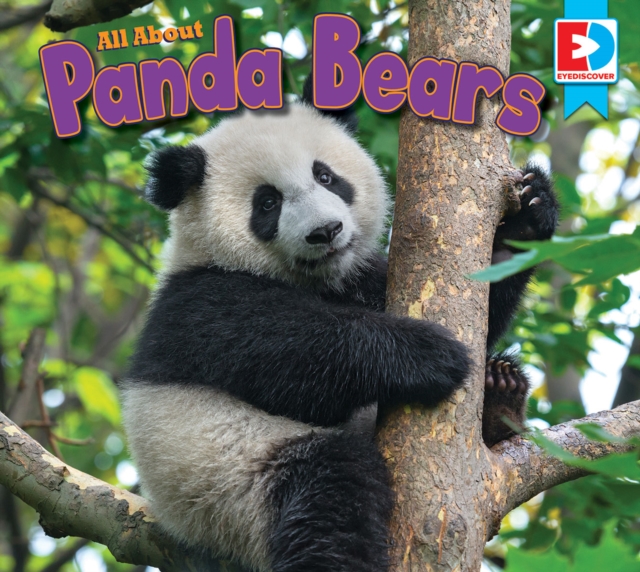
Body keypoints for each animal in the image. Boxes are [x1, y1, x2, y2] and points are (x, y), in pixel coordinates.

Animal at [121, 82, 558, 572]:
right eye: (267, 202)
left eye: (326, 176)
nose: (325, 231)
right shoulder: (202, 303)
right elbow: (292, 356)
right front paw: (427, 354)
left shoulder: (362, 278)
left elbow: (485, 299)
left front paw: (529, 214)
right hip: (230, 484)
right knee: (328, 492)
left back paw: (500, 393)